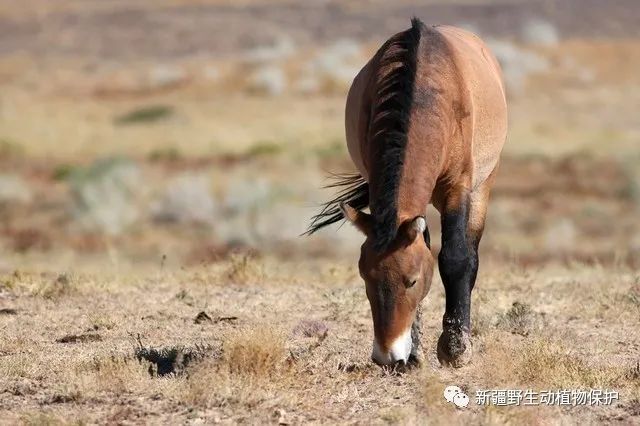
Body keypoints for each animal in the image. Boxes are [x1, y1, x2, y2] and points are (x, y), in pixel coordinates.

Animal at [308, 18, 508, 368]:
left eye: (412, 280)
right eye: (365, 276)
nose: (387, 357)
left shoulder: (458, 188)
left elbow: (456, 257)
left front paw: (455, 348)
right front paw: (415, 352)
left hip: (482, 188)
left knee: (470, 251)